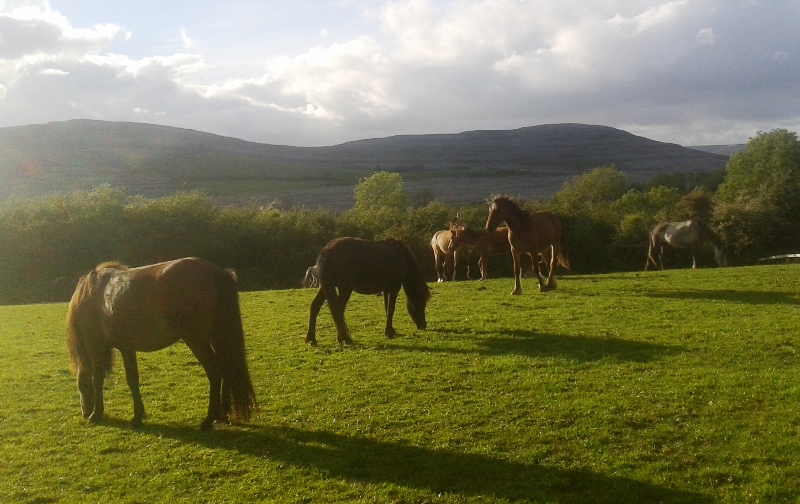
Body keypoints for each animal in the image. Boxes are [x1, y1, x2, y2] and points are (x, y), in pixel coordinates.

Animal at [66, 257, 256, 430]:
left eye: (80, 387)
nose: (84, 412)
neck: (91, 295)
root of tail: (216, 271)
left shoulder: (95, 345)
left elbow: (97, 378)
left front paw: (96, 414)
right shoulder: (127, 347)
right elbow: (132, 379)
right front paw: (137, 415)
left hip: (197, 340)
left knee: (215, 372)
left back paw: (209, 420)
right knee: (225, 368)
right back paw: (222, 415)